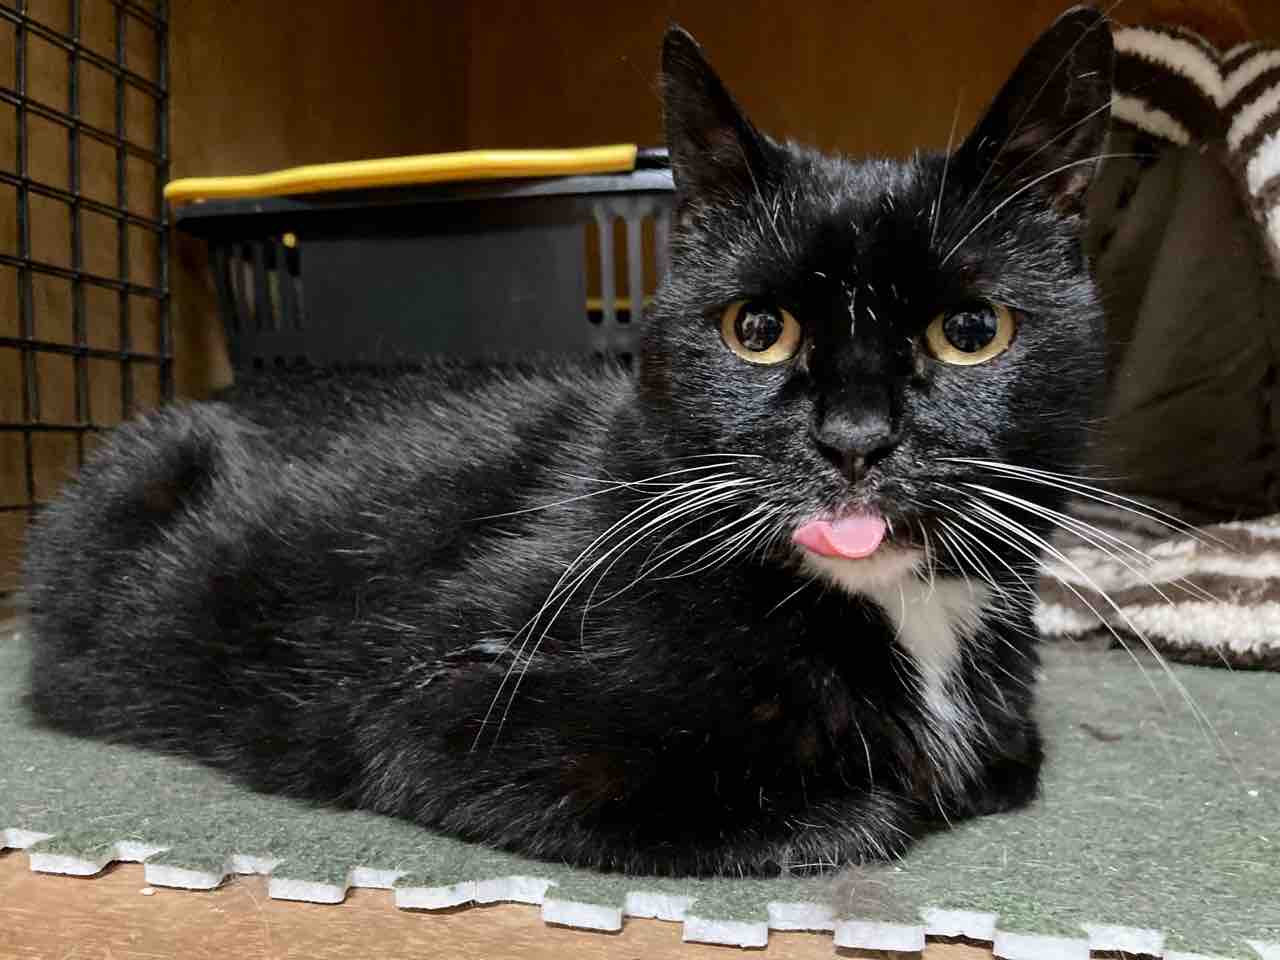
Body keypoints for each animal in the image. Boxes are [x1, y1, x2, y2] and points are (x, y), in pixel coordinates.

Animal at [22, 8, 1113, 876]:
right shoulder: (437, 708)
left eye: (969, 332)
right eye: (756, 330)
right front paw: (887, 792)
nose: (854, 439)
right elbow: (850, 813)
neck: (902, 613)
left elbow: (1003, 762)